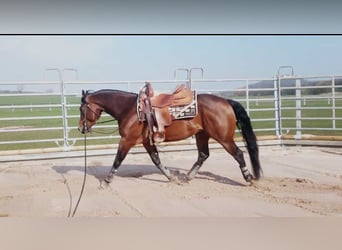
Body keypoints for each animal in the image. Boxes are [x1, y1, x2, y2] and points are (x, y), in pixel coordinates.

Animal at [79, 88, 262, 184]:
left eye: (81, 109)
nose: (81, 127)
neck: (129, 109)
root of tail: (226, 101)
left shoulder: (127, 141)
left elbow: (118, 160)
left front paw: (106, 181)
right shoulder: (146, 142)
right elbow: (156, 160)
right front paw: (171, 177)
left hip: (224, 138)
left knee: (238, 154)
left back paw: (248, 178)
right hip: (202, 135)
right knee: (203, 154)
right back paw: (188, 176)